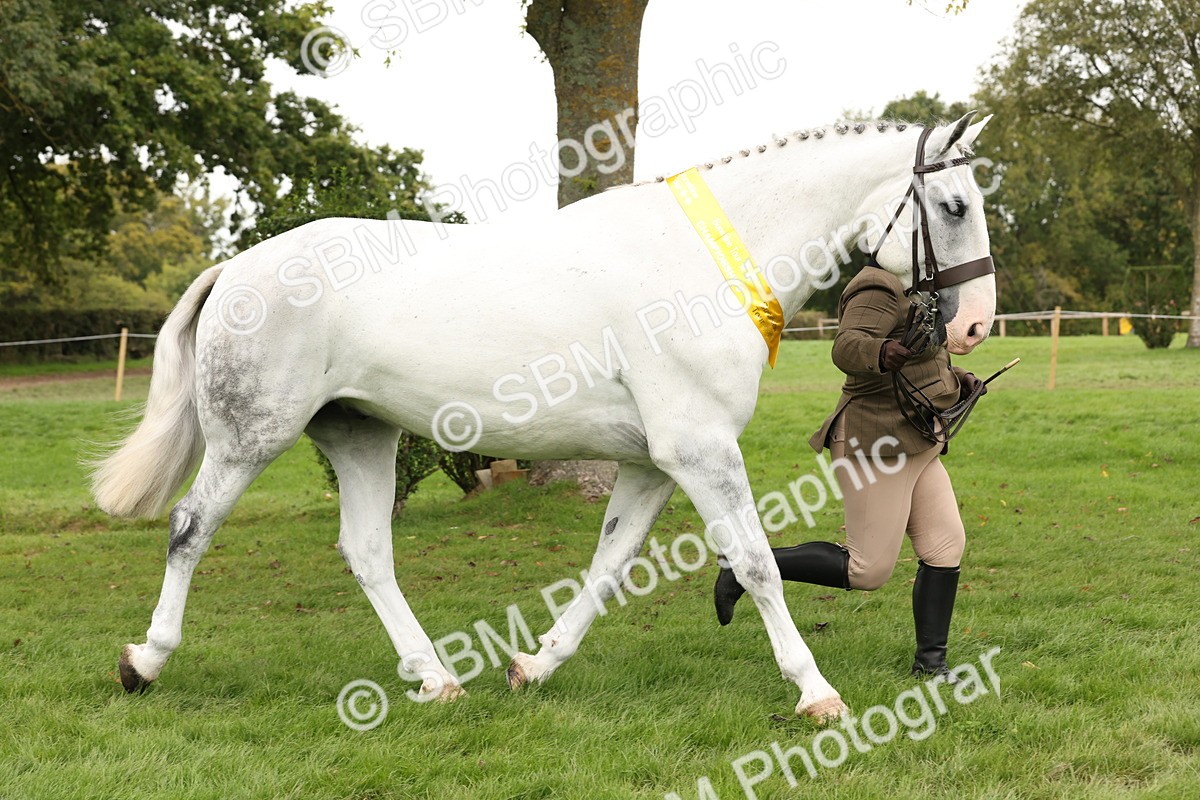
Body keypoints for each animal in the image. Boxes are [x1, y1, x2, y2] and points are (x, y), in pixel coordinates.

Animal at [92, 113, 996, 722]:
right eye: (954, 205)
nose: (977, 326)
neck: (704, 267)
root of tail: (237, 266)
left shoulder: (650, 465)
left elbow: (608, 566)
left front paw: (536, 665)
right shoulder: (700, 452)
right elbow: (756, 564)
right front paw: (815, 693)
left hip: (360, 434)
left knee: (368, 552)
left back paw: (436, 679)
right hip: (251, 438)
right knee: (189, 528)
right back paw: (146, 661)